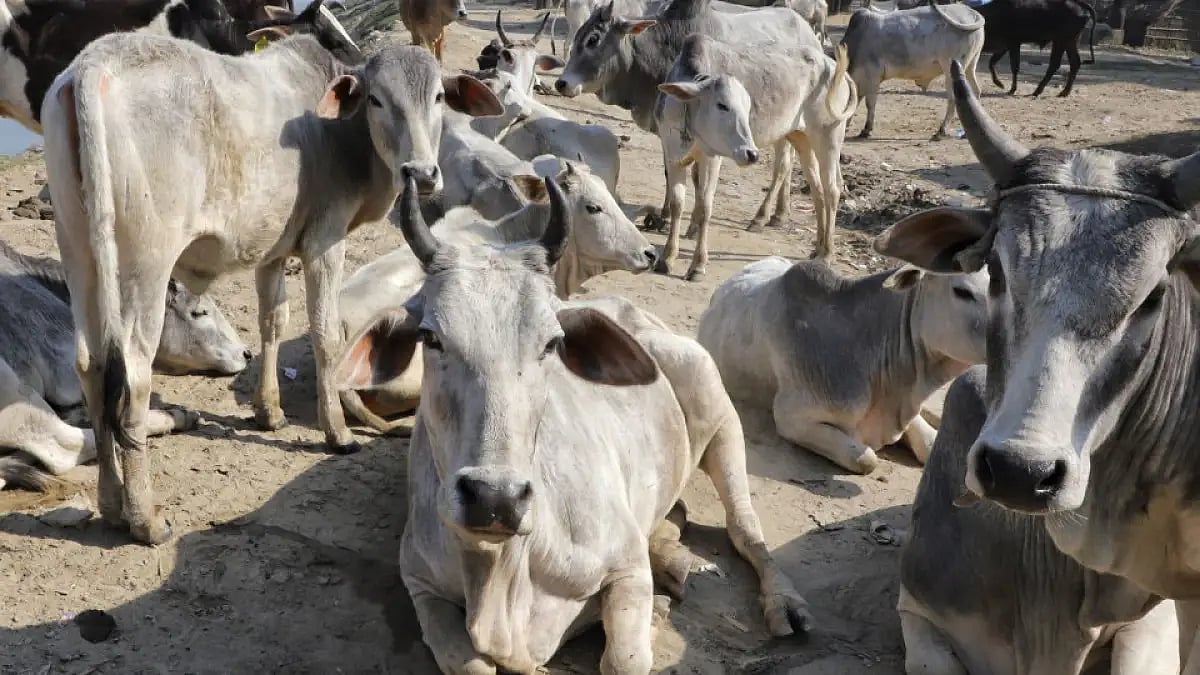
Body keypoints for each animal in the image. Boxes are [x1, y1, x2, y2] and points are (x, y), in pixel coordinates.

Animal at [41, 34, 502, 544]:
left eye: (438, 97)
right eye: (377, 99)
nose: (421, 173)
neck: (342, 135)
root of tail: (93, 64)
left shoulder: (273, 250)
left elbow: (272, 321)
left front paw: (269, 411)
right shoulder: (325, 240)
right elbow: (325, 334)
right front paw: (337, 433)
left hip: (78, 246)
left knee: (91, 364)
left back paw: (109, 503)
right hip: (146, 261)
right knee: (134, 376)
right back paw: (145, 518)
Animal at [390, 173, 810, 673]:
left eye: (552, 343)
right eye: (429, 337)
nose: (495, 498)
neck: (501, 568)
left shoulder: (627, 569)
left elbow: (625, 658)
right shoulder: (420, 585)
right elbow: (468, 662)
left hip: (720, 414)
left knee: (744, 526)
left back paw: (782, 603)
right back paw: (673, 562)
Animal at [555, 0, 819, 232]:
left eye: (593, 39)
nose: (561, 83)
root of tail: (810, 34)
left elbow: (695, 178)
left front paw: (681, 222)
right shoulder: (667, 132)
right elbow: (670, 173)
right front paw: (665, 217)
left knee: (783, 166)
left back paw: (761, 217)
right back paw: (779, 214)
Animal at [653, 36, 856, 278]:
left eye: (747, 106)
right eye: (722, 105)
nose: (751, 153)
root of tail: (834, 66)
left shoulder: (712, 159)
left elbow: (704, 207)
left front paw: (698, 265)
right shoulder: (672, 154)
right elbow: (677, 204)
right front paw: (667, 257)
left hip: (828, 139)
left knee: (832, 189)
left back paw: (826, 253)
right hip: (801, 138)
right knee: (817, 189)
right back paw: (817, 247)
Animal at [840, 2, 984, 140]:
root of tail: (970, 11)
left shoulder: (872, 76)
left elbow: (870, 104)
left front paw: (866, 130)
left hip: (950, 69)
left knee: (954, 99)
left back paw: (941, 132)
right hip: (970, 66)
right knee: (975, 91)